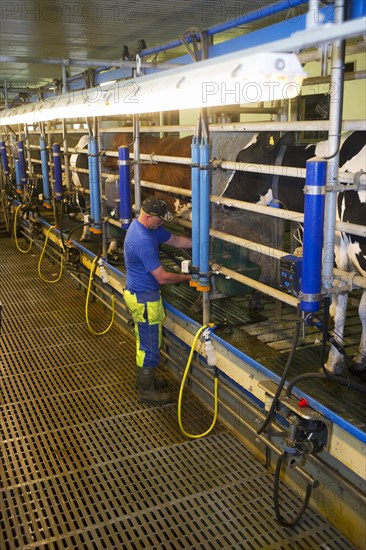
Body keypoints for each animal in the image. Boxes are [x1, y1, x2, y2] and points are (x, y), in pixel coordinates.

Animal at [222, 132, 366, 378]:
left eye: (241, 160)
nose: (223, 197)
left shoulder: (340, 255)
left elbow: (339, 307)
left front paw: (333, 362)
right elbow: (363, 309)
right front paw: (359, 359)